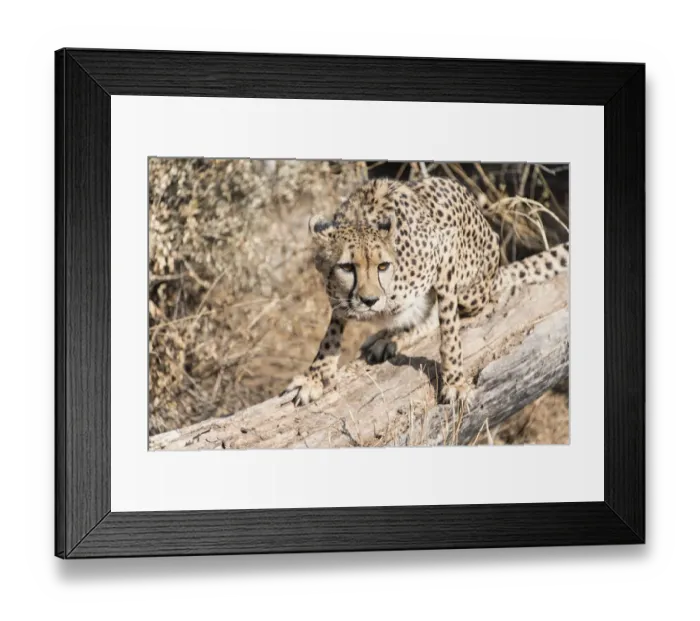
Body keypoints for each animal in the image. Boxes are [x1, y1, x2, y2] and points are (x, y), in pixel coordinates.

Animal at [282, 176, 569, 407]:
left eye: (382, 265)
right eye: (347, 267)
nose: (370, 301)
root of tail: (495, 274)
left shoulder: (445, 250)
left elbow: (449, 331)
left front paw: (455, 382)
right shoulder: (338, 297)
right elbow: (332, 331)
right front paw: (316, 376)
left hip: (472, 289)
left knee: (451, 313)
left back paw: (393, 337)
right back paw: (385, 336)